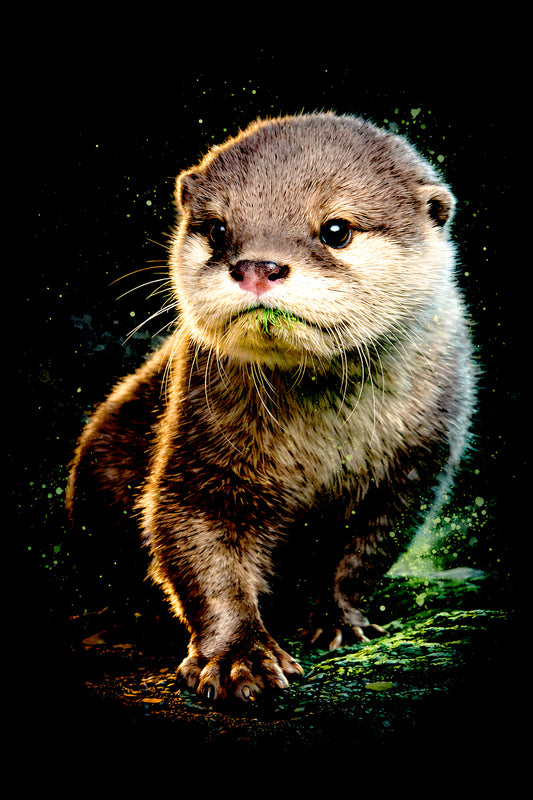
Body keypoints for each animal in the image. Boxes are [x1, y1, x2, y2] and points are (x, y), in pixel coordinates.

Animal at [67, 113, 476, 702]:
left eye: (336, 230)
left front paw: (338, 619)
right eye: (217, 229)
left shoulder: (417, 468)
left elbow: (364, 555)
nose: (257, 266)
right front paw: (238, 658)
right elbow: (199, 551)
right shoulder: (198, 454)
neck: (326, 448)